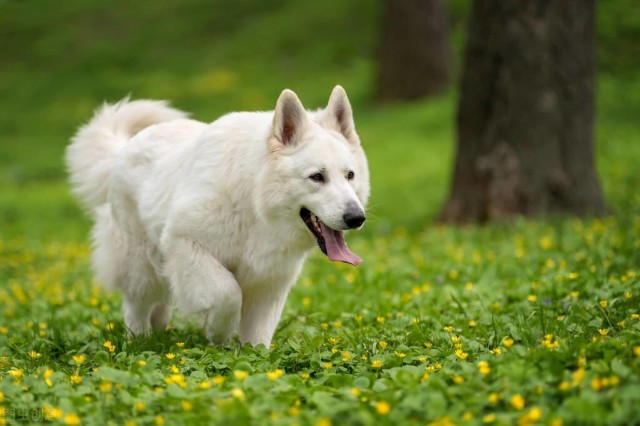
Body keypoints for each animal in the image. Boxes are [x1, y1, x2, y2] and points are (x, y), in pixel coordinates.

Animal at [66, 85, 370, 346]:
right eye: (317, 177)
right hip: (141, 266)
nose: (356, 218)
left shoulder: (269, 281)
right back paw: (139, 341)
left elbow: (259, 334)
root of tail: (122, 150)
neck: (255, 203)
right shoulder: (185, 244)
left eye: (350, 175)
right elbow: (228, 293)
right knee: (136, 306)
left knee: (159, 305)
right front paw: (218, 332)